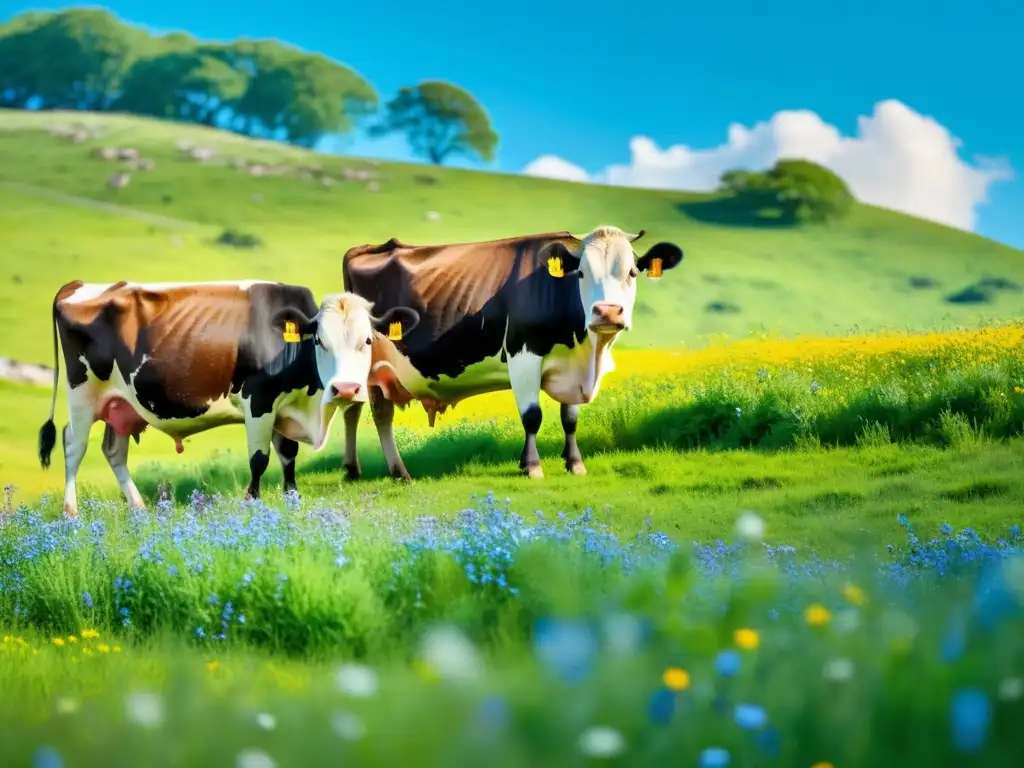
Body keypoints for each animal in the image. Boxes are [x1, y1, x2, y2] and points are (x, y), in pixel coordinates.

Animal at [36, 280, 419, 520]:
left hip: (121, 404)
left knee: (114, 451)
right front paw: (252, 500)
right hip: (82, 394)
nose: (346, 389)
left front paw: (292, 497)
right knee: (73, 445)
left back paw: (139, 507)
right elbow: (260, 460)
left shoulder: (282, 405)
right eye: (319, 341)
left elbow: (288, 455)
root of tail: (77, 286)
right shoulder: (259, 401)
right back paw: (71, 512)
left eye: (367, 341)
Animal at [339, 222, 684, 483]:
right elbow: (532, 416)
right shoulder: (524, 355)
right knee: (371, 413)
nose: (608, 312)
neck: (587, 354)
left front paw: (574, 463)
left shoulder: (572, 368)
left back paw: (367, 471)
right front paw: (531, 466)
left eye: (632, 273)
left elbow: (570, 418)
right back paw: (390, 471)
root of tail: (368, 248)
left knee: (363, 411)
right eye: (582, 273)